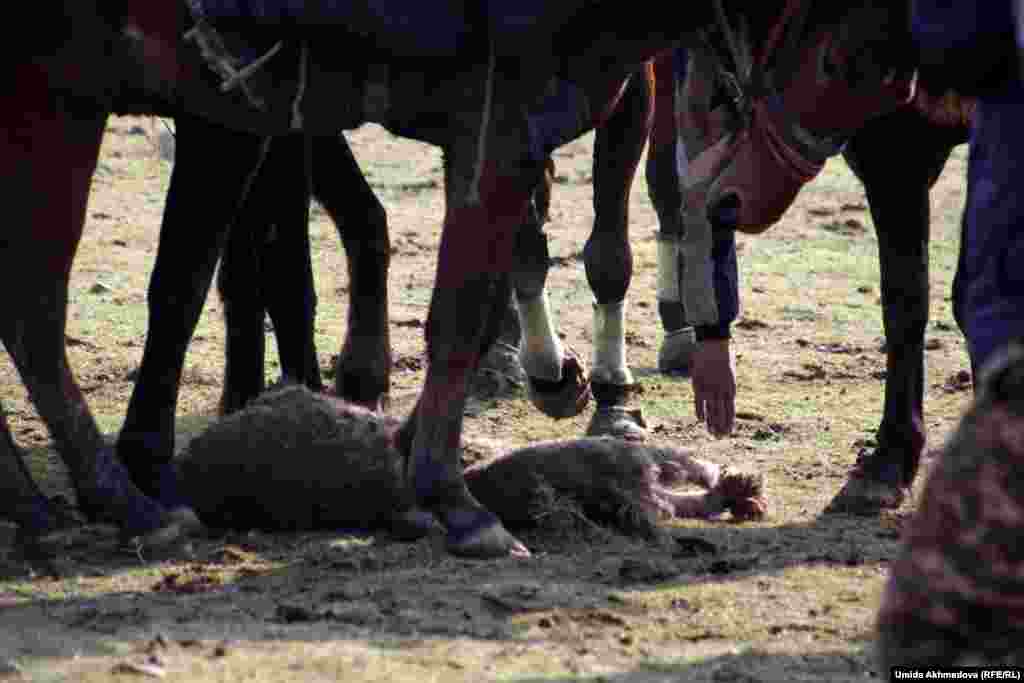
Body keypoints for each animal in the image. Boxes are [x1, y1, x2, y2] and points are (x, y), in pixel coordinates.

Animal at [0, 0, 913, 557]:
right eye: (849, 53)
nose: (908, 88)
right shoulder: (493, 119)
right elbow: (455, 307)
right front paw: (454, 493)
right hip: (59, 101)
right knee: (35, 309)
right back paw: (109, 502)